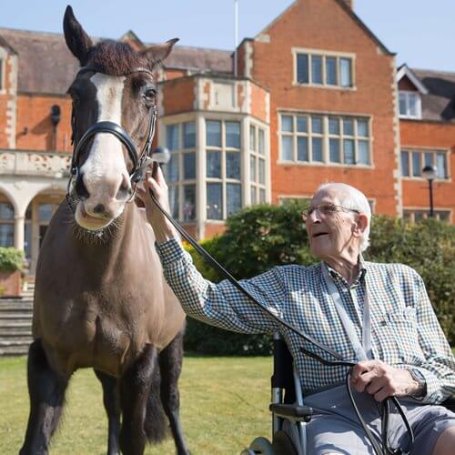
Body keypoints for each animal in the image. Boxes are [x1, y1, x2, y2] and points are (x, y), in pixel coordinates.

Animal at [20, 6, 189, 455]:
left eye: (149, 94)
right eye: (75, 92)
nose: (100, 189)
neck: (99, 272)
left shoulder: (140, 364)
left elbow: (135, 437)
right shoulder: (46, 363)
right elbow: (36, 441)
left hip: (173, 349)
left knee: (171, 403)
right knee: (111, 407)